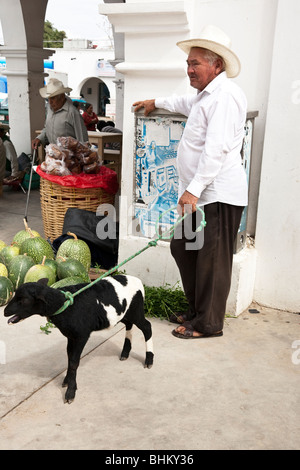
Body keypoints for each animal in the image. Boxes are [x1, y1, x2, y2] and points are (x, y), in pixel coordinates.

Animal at [4, 276, 155, 404]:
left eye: (23, 300)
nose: (5, 311)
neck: (64, 306)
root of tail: (138, 281)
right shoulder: (71, 336)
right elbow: (69, 358)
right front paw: (67, 381)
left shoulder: (81, 335)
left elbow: (74, 362)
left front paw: (70, 392)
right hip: (123, 313)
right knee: (129, 324)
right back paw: (125, 353)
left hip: (136, 310)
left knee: (147, 327)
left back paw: (149, 360)